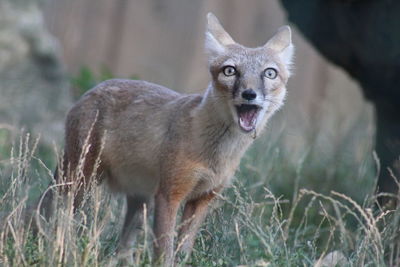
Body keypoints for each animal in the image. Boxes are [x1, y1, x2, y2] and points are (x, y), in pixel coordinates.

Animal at [42, 12, 294, 266]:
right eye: (230, 71)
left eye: (269, 73)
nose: (249, 94)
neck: (216, 155)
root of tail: (90, 91)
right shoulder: (169, 195)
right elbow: (165, 251)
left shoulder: (202, 198)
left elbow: (183, 250)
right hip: (82, 182)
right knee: (60, 218)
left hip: (139, 201)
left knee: (122, 247)